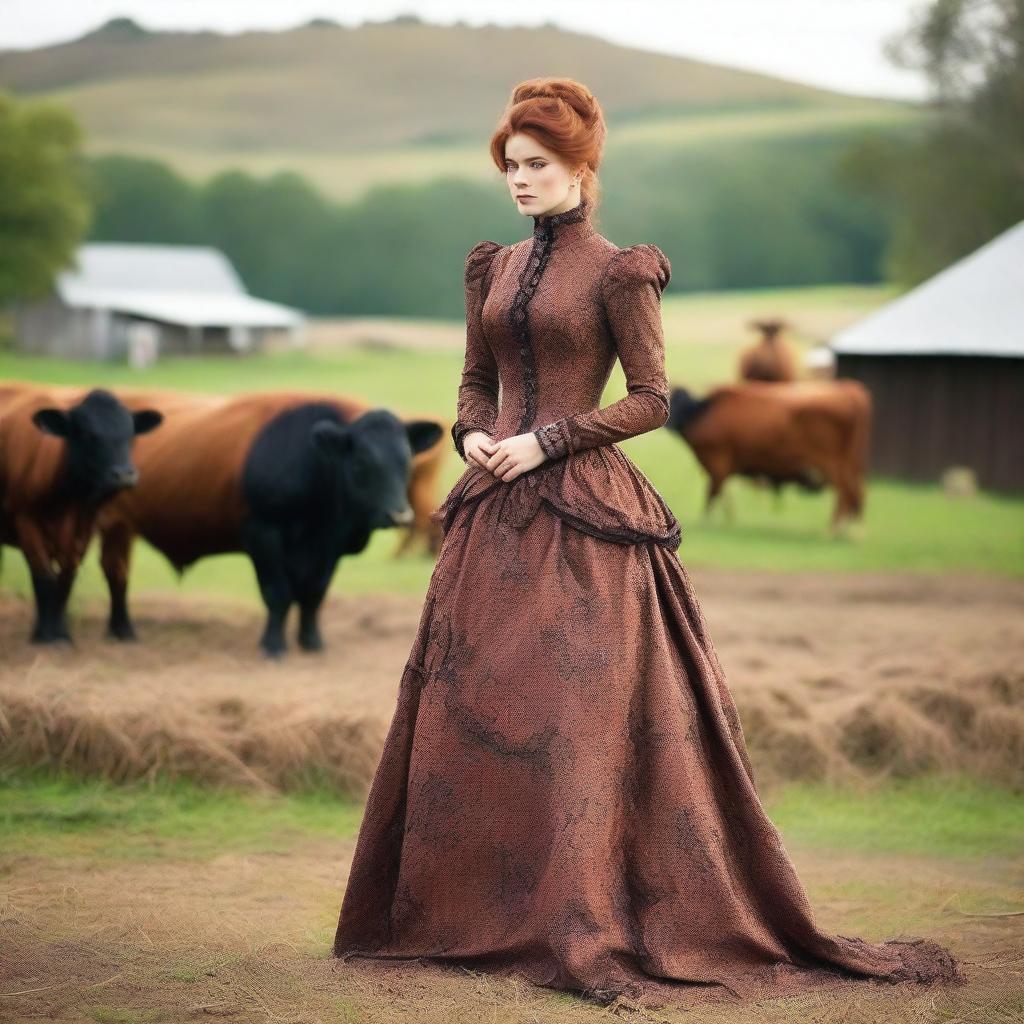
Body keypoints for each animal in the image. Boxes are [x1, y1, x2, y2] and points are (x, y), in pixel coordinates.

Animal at [0, 382, 161, 638]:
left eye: (131, 435)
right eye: (86, 435)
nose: (124, 474)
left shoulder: (83, 528)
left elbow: (66, 579)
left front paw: (60, 631)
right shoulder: (25, 520)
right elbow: (44, 579)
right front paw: (46, 636)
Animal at [96, 387, 444, 659]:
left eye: (406, 460)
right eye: (361, 462)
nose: (399, 515)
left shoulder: (327, 549)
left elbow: (314, 594)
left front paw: (311, 641)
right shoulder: (263, 534)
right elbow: (278, 592)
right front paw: (273, 645)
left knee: (117, 573)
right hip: (113, 523)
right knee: (115, 573)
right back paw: (122, 630)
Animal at [663, 380, 872, 532]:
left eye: (676, 403)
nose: (669, 424)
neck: (703, 413)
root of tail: (848, 390)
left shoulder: (717, 462)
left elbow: (712, 494)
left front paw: (707, 521)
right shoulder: (720, 468)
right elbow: (721, 493)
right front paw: (727, 519)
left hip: (831, 464)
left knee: (845, 493)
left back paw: (834, 528)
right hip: (849, 464)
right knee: (856, 493)